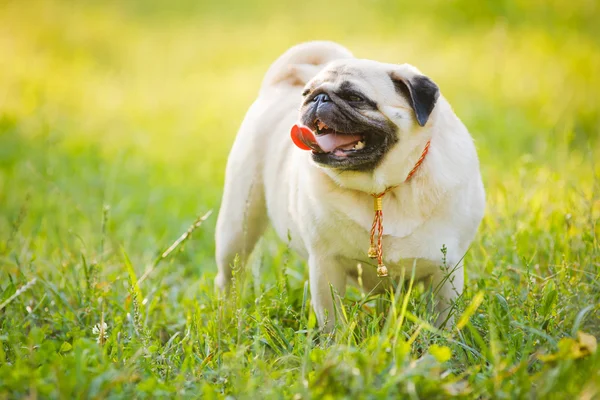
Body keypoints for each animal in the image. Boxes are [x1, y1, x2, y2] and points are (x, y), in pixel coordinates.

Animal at [213, 41, 486, 332]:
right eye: (306, 94)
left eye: (355, 98)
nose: (318, 98)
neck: (382, 190)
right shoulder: (326, 265)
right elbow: (332, 320)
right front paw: (337, 343)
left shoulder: (446, 270)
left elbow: (443, 320)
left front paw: (442, 339)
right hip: (237, 226)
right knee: (229, 276)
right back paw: (227, 317)